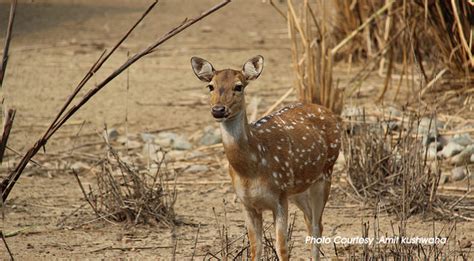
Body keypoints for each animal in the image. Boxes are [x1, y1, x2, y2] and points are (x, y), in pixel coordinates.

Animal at [191, 55, 342, 260]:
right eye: (210, 86)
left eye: (239, 86)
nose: (218, 110)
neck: (252, 168)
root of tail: (327, 111)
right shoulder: (247, 203)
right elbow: (256, 249)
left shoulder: (280, 197)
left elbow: (282, 249)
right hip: (298, 188)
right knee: (310, 221)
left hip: (325, 173)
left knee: (318, 225)